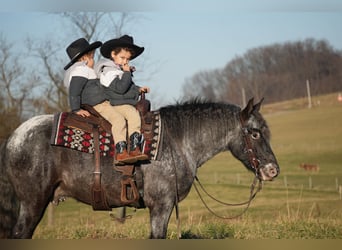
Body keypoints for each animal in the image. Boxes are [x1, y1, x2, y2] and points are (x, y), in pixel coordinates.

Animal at [0, 97, 278, 238]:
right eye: (254, 133)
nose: (273, 170)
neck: (176, 140)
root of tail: (14, 137)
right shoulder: (162, 205)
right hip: (33, 203)